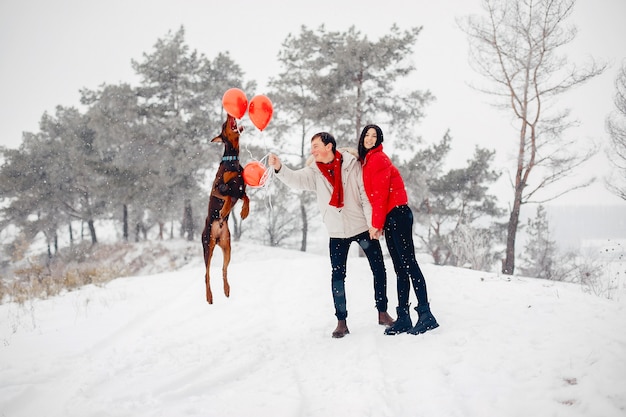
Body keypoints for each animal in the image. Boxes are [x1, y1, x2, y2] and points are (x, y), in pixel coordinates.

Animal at [200, 114, 249, 302]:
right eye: (223, 124)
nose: (230, 115)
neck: (232, 161)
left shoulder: (240, 189)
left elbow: (246, 197)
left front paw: (244, 211)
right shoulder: (217, 188)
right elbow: (226, 195)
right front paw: (224, 210)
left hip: (227, 246)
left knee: (224, 268)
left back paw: (227, 289)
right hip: (208, 246)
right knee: (206, 274)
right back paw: (209, 296)